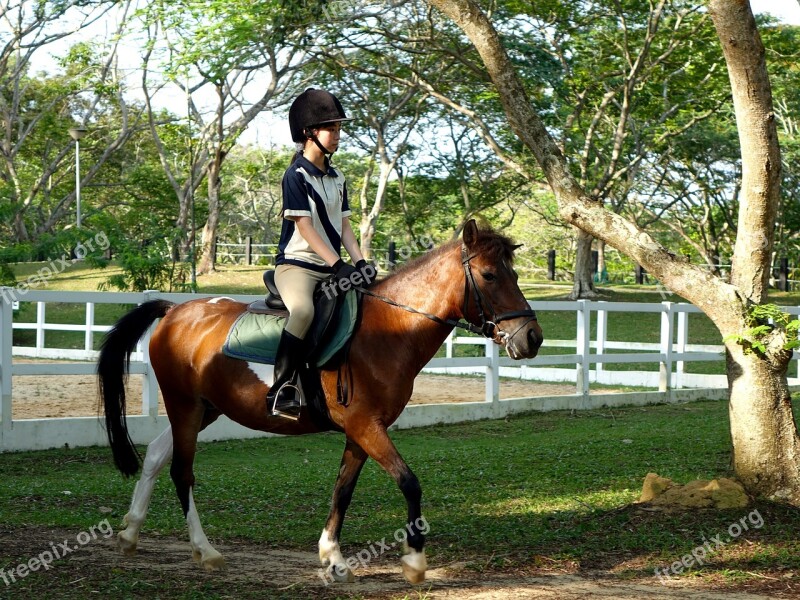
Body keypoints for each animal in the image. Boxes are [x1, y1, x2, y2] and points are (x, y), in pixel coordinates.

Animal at [97, 219, 540, 580]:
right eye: (489, 275)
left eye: (514, 273)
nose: (532, 338)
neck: (387, 330)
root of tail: (174, 311)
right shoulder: (365, 425)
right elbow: (409, 482)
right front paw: (414, 561)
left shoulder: (362, 430)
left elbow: (343, 489)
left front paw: (333, 559)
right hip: (185, 406)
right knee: (181, 472)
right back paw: (204, 551)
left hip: (205, 409)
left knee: (157, 454)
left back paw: (130, 533)